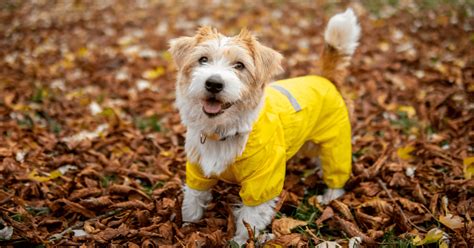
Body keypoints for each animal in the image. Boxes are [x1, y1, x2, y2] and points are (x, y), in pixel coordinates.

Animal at [168, 8, 362, 245]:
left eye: (239, 65)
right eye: (202, 59)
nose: (213, 83)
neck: (224, 131)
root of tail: (325, 78)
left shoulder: (262, 181)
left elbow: (250, 217)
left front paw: (241, 242)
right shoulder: (197, 169)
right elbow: (193, 199)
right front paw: (188, 227)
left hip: (336, 142)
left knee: (336, 169)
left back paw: (331, 197)